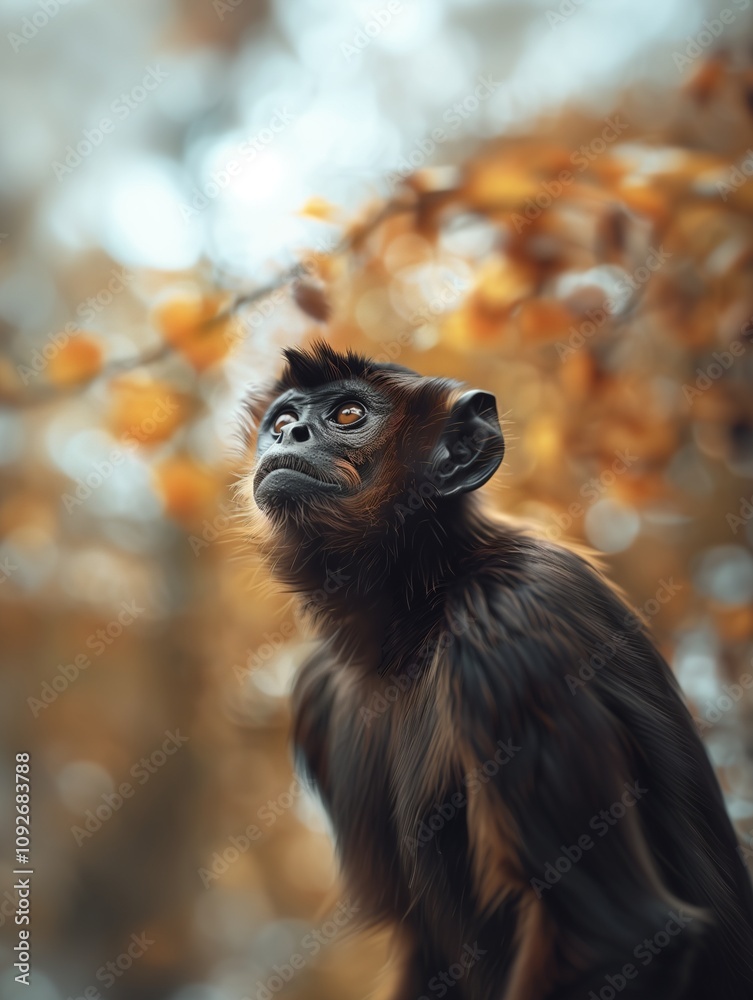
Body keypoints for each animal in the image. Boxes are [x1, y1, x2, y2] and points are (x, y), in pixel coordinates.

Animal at [241, 340, 753, 1000]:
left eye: (349, 415)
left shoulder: (510, 616)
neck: (414, 618)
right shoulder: (322, 692)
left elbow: (619, 937)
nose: (290, 434)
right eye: (280, 421)